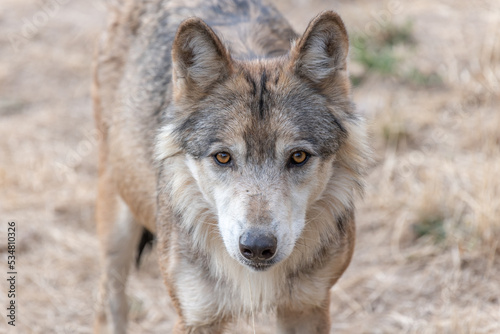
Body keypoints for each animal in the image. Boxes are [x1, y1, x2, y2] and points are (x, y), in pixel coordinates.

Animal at [92, 0, 370, 332]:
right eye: (223, 157)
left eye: (298, 157)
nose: (257, 246)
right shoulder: (196, 316)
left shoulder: (306, 307)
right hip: (115, 230)